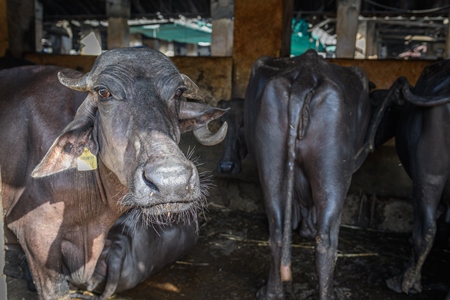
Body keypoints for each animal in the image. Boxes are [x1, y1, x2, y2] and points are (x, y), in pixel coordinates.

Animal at [218, 50, 380, 298]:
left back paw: (271, 293)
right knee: (327, 241)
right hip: (335, 176)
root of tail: (306, 74)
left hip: (273, 164)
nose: (226, 165)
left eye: (243, 125)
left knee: (278, 231)